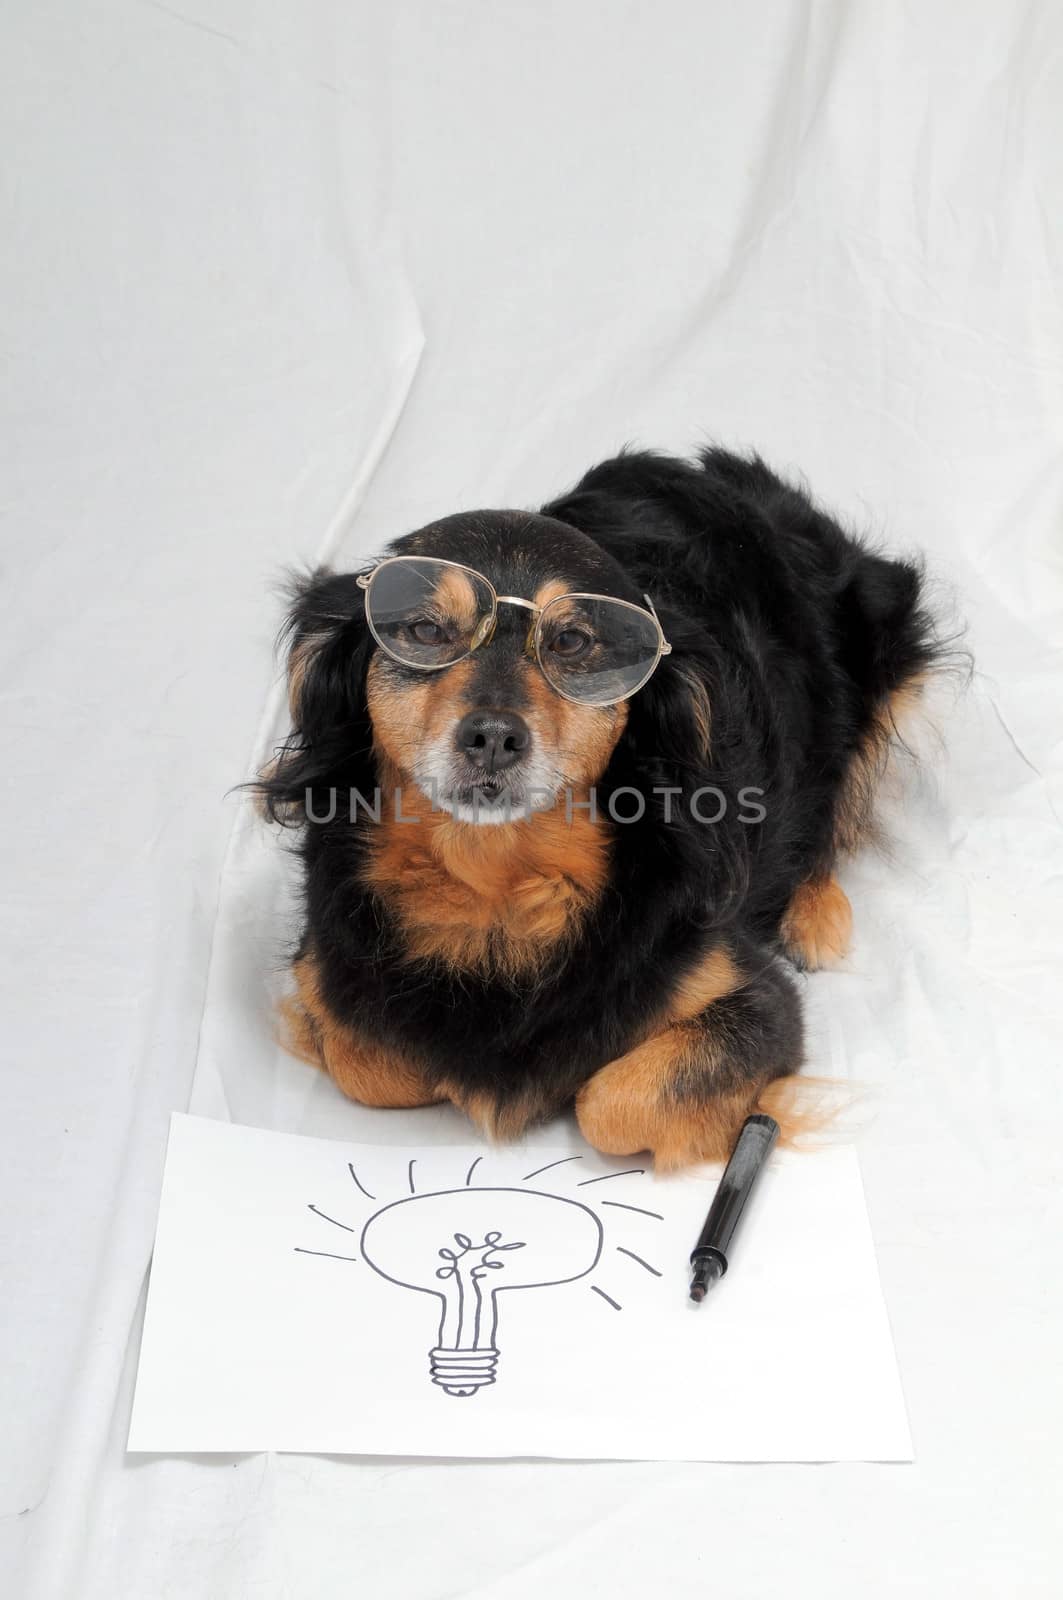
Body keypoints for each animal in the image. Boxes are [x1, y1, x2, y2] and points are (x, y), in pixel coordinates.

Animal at [257, 444, 941, 1171]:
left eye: (571, 643)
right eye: (423, 630)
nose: (493, 736)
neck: (496, 886)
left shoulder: (757, 998)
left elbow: (609, 1103)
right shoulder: (329, 975)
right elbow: (372, 1061)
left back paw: (814, 914)